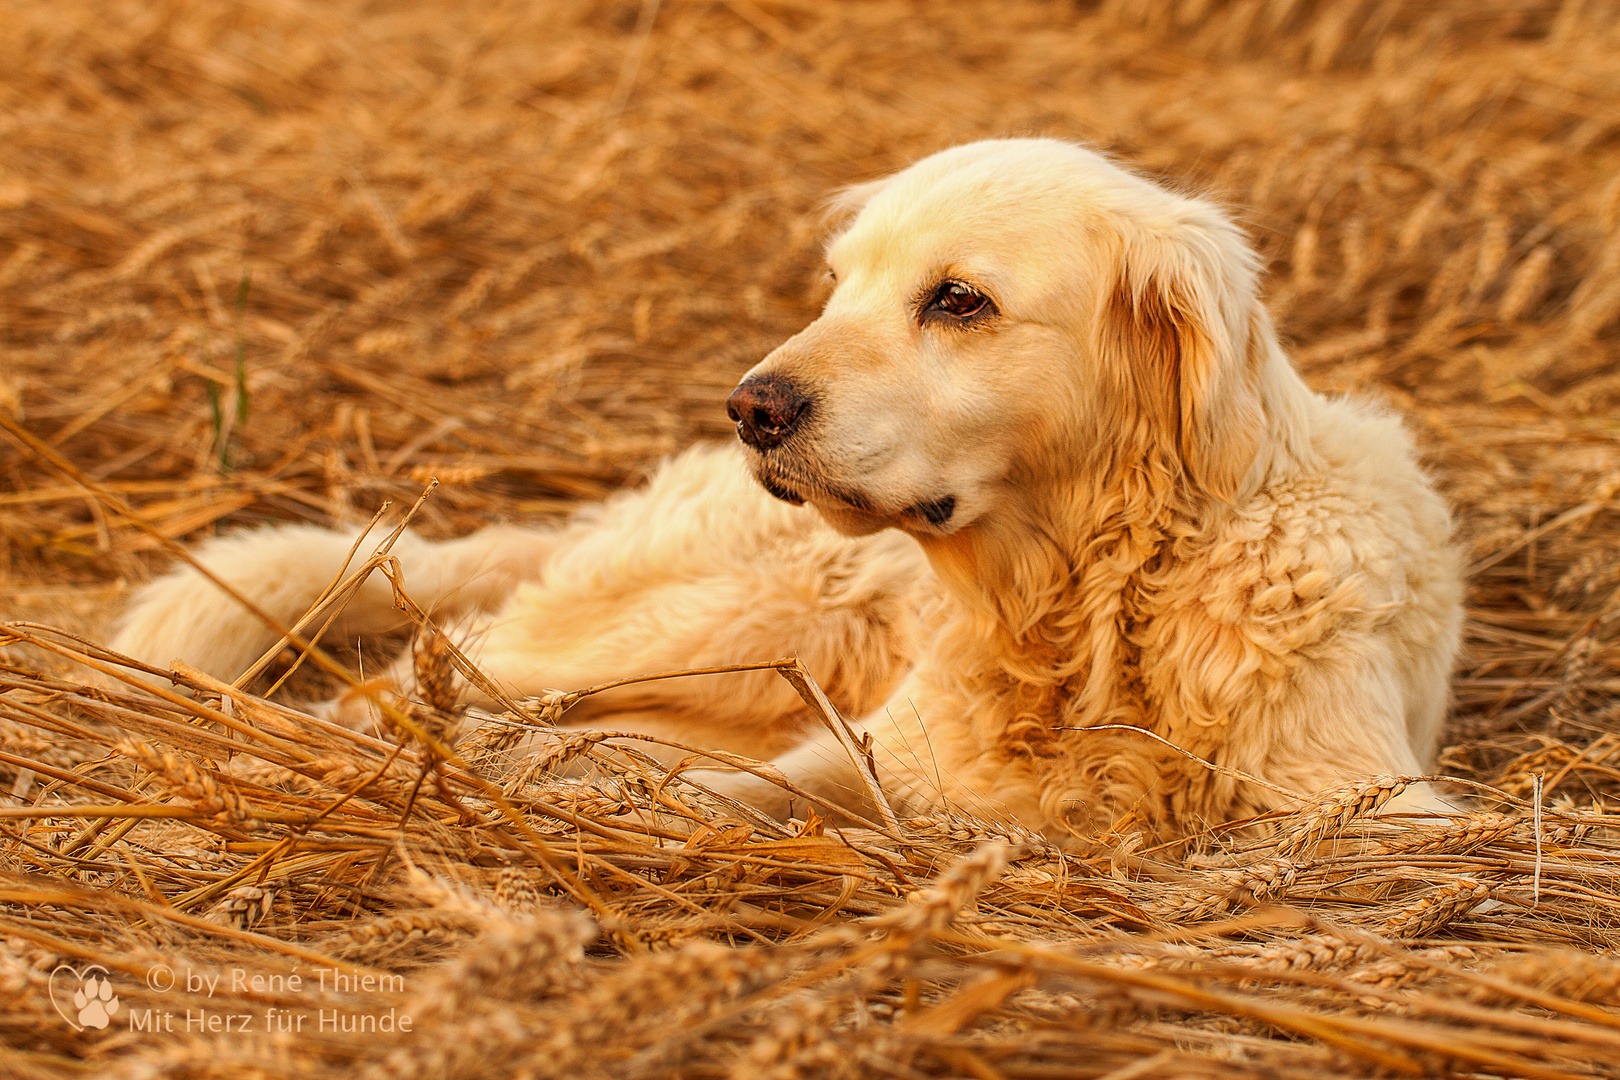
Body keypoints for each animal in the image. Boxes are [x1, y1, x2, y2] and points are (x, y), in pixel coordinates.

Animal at [107, 137, 1464, 841]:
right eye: (838, 283)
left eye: (958, 298)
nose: (751, 405)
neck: (1085, 618)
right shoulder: (862, 749)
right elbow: (752, 794)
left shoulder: (1374, 806)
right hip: (722, 617)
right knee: (413, 674)